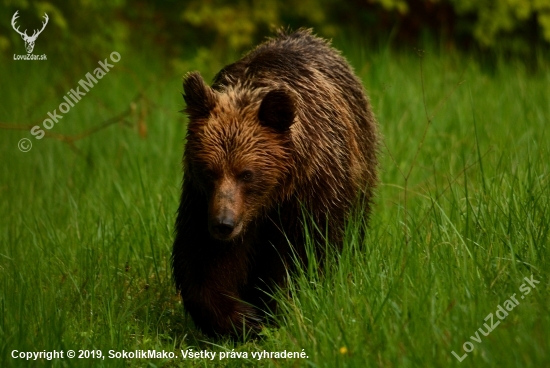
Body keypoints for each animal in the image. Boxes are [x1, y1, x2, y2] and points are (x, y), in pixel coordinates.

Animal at [172, 28, 380, 336]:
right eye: (209, 171)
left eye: (247, 173)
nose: (223, 224)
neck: (271, 197)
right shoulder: (201, 201)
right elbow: (205, 261)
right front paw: (243, 318)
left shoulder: (312, 193)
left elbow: (304, 254)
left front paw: (277, 308)